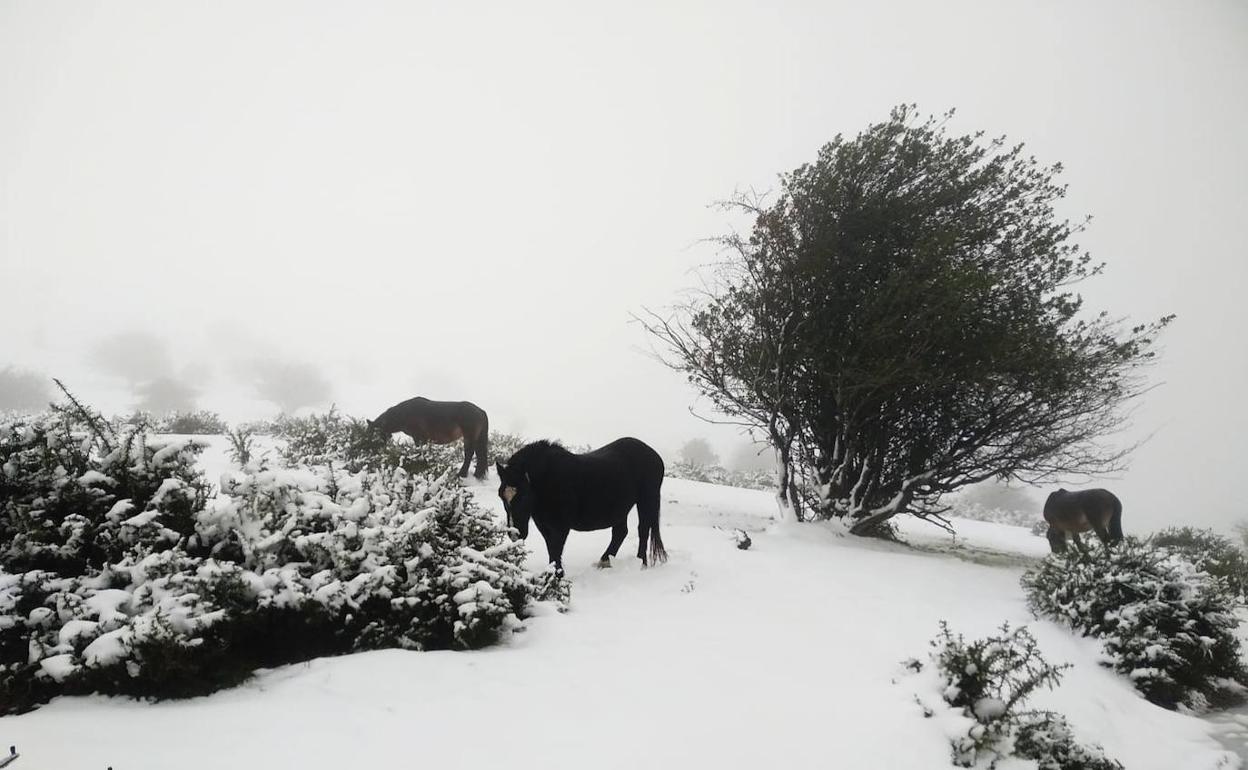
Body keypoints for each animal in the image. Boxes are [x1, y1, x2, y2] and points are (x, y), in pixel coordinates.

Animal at [494, 437, 667, 576]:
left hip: (647, 499)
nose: (515, 534)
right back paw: (605, 561)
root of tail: (655, 456)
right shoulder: (544, 526)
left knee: (643, 529)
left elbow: (556, 551)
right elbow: (551, 551)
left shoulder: (560, 527)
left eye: (523, 496)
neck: (547, 480)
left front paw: (557, 578)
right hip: (621, 508)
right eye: (501, 496)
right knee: (620, 532)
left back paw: (641, 563)